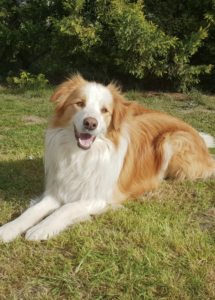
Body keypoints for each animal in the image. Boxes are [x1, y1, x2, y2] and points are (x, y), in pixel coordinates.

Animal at [0, 75, 214, 241]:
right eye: (80, 103)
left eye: (104, 110)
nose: (90, 123)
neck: (82, 155)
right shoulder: (58, 190)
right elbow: (32, 211)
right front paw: (9, 228)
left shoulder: (100, 197)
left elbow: (66, 208)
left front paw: (42, 228)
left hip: (169, 141)